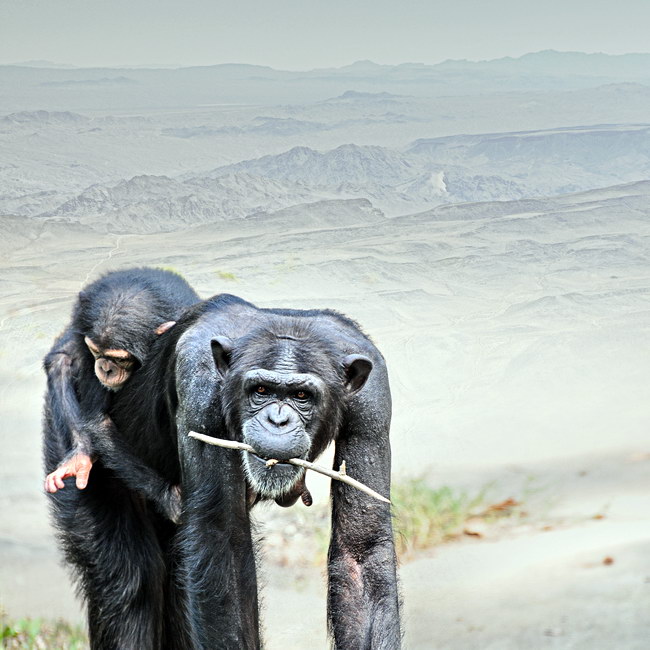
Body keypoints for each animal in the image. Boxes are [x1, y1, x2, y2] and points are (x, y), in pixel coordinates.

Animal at [42, 266, 197, 520]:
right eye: (95, 351)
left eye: (120, 359)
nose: (105, 367)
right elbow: (98, 421)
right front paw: (168, 496)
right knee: (61, 361)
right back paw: (81, 454)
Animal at [100, 294, 400, 648]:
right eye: (261, 391)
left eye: (301, 395)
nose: (278, 420)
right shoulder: (199, 387)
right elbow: (222, 542)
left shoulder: (372, 402)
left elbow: (361, 550)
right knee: (129, 587)